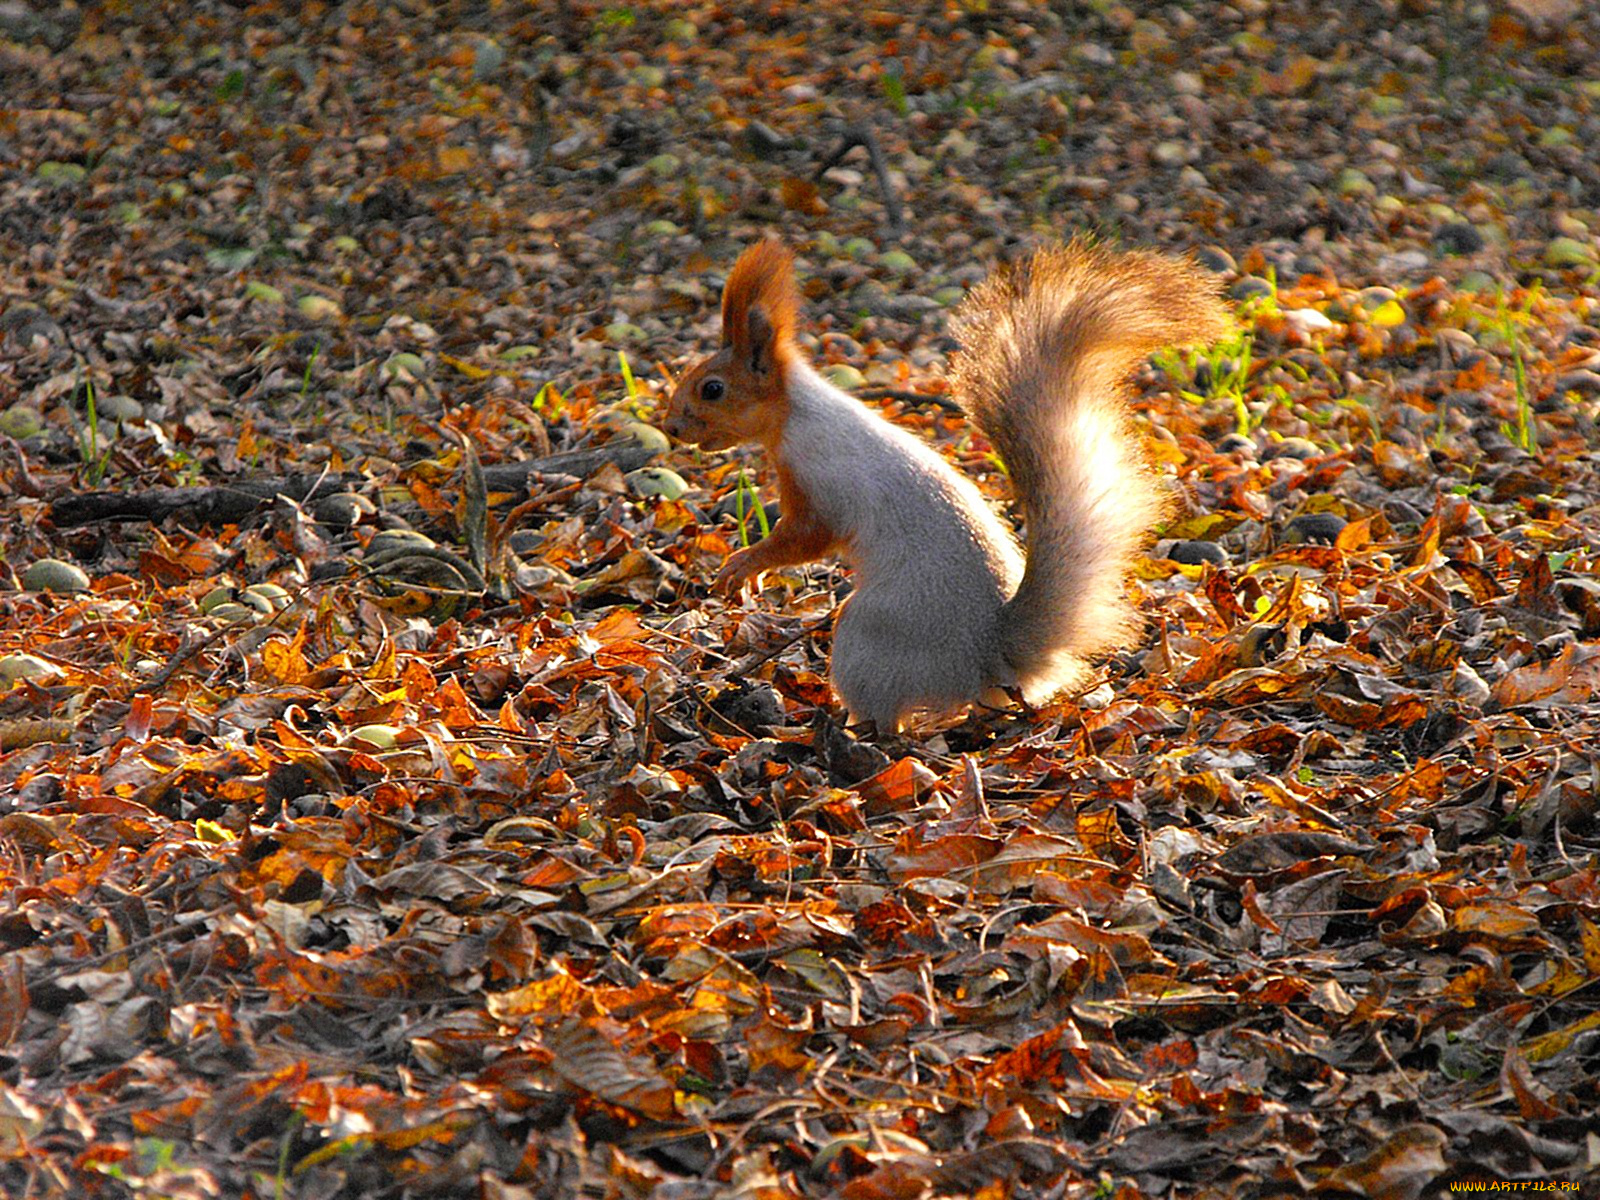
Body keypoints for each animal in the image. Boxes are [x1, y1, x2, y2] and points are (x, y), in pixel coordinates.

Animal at [659, 235, 1222, 732]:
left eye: (712, 389)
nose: (672, 428)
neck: (796, 412)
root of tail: (992, 655)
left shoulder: (819, 475)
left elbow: (805, 538)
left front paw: (744, 564)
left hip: (869, 637)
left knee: (887, 719)